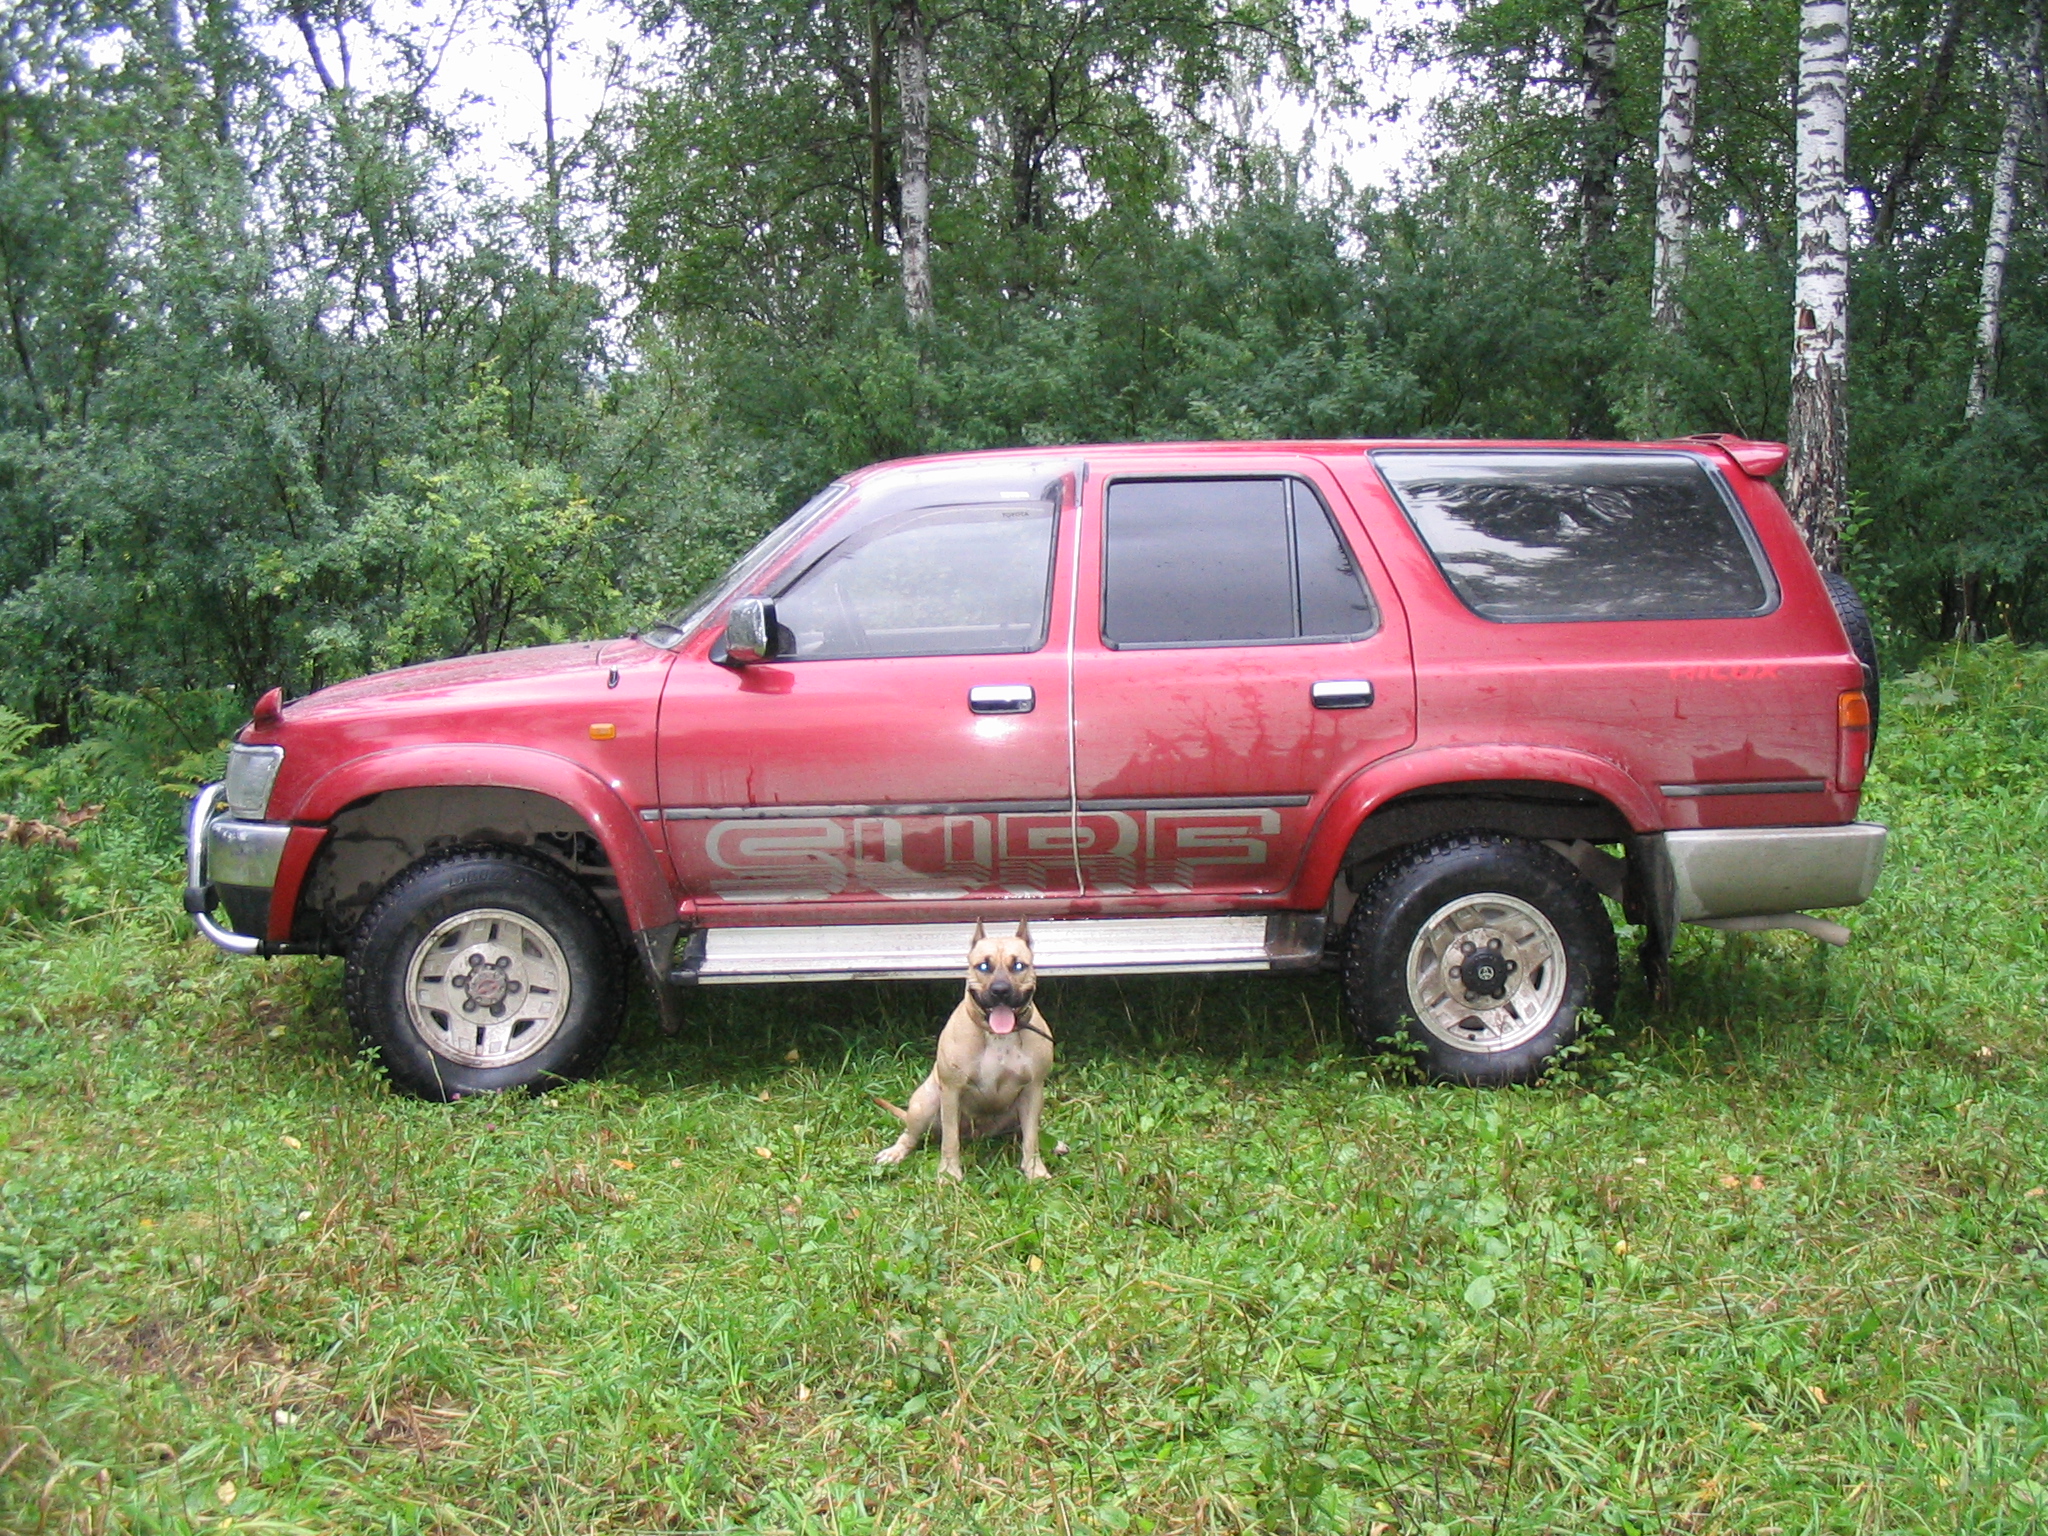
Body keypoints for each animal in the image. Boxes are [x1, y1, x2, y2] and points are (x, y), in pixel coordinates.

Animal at [872, 921, 1056, 1187]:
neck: (998, 1035)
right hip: (925, 1103)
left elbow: (1031, 1138)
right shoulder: (951, 1091)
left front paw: (1034, 1170)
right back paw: (896, 1152)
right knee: (911, 1135)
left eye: (1018, 965)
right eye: (984, 966)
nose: (1001, 990)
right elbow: (950, 1140)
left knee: (1023, 1132)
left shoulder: (1033, 1089)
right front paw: (949, 1173)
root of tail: (978, 1135)